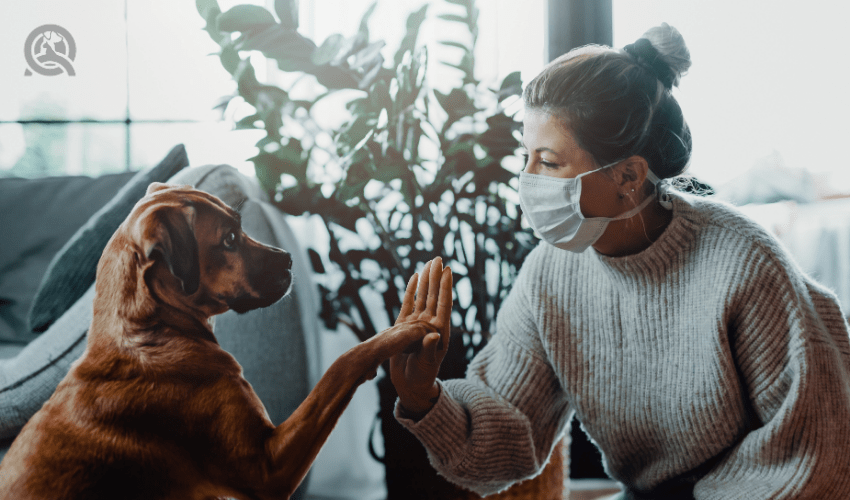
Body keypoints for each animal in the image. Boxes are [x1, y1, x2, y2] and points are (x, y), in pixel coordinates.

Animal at [0, 184, 438, 500]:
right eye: (228, 239)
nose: (289, 260)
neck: (152, 333)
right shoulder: (267, 468)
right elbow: (342, 365)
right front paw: (398, 331)